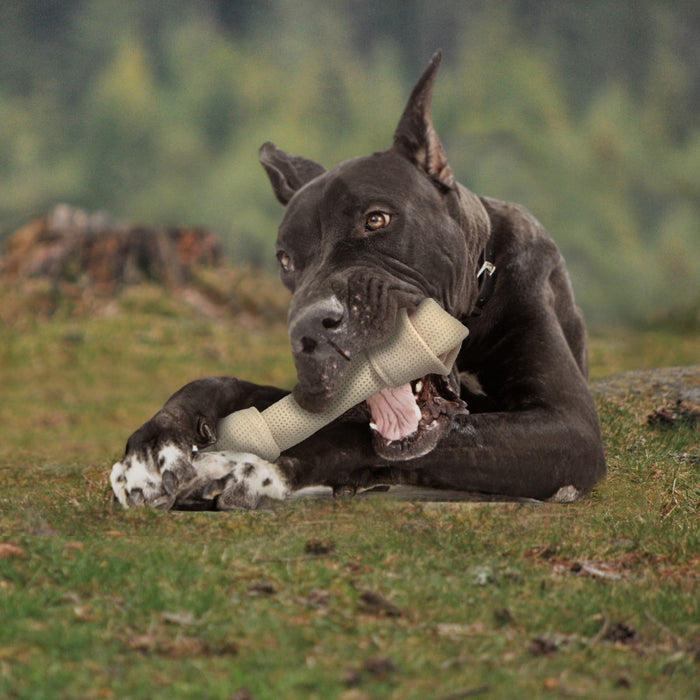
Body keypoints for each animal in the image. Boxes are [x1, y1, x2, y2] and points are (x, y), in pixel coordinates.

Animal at [110, 50, 608, 508]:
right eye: (285, 260)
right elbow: (221, 383)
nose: (311, 327)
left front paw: (252, 466)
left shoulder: (569, 428)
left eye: (376, 219)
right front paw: (153, 446)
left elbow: (358, 437)